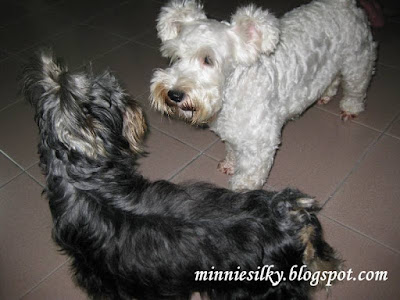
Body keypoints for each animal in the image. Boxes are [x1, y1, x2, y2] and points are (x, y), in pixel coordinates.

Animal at [21, 49, 340, 300]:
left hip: (259, 287)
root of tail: (290, 216)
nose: (135, 104)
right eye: (118, 100)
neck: (83, 178)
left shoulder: (102, 272)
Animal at [150, 0, 376, 190]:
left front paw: (242, 191)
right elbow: (232, 149)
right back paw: (326, 94)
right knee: (333, 79)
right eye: (177, 57)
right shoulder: (233, 133)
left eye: (208, 60)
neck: (233, 91)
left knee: (357, 87)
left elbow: (249, 173)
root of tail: (345, 3)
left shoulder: (259, 142)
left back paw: (350, 108)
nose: (174, 94)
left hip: (357, 62)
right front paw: (230, 164)